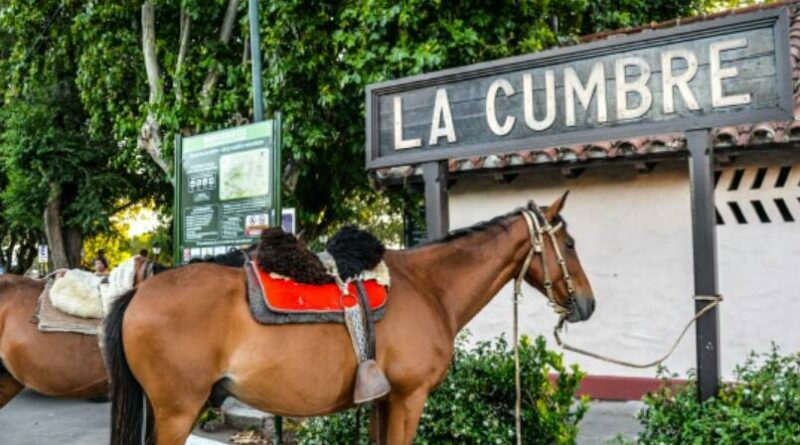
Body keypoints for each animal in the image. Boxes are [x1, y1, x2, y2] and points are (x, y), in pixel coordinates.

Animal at [104, 193, 592, 444]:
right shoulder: (409, 398)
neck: (430, 287)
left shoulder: (383, 400)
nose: (587, 303)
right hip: (177, 410)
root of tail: (141, 288)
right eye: (569, 244)